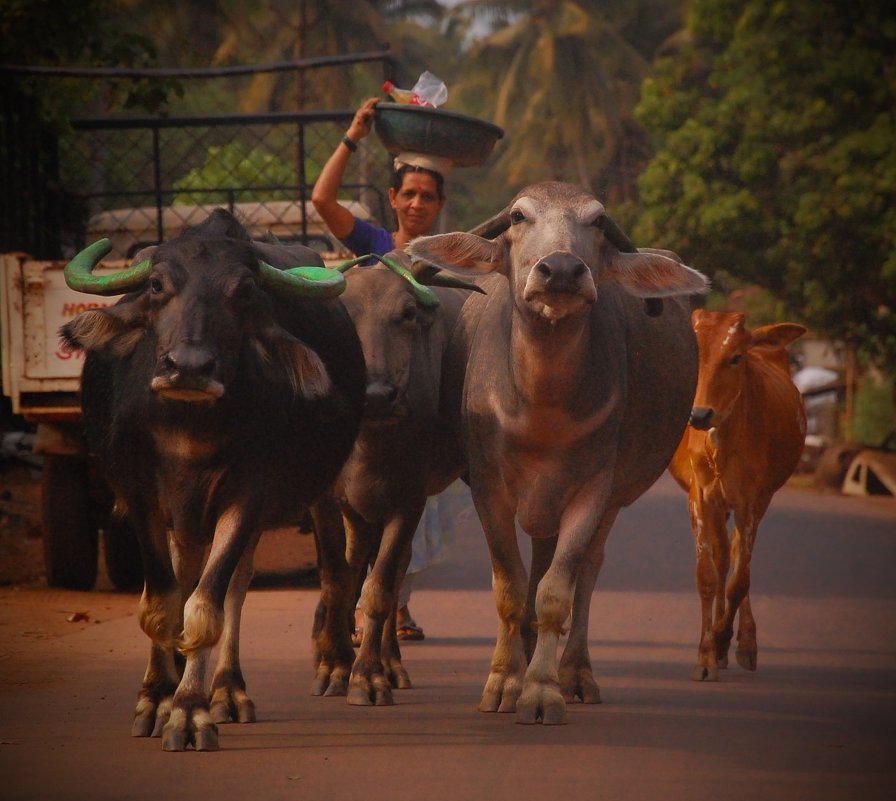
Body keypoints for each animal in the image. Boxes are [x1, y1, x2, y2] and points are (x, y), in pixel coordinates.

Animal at [410, 181, 712, 724]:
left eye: (597, 221)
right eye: (518, 216)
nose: (563, 270)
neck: (541, 410)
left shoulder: (593, 490)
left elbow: (556, 592)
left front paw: (542, 690)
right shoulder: (488, 489)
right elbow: (509, 588)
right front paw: (504, 682)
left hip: (612, 498)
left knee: (586, 573)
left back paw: (574, 673)